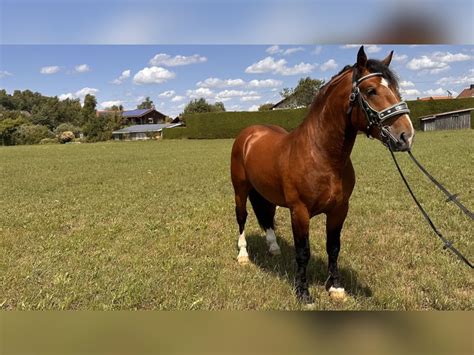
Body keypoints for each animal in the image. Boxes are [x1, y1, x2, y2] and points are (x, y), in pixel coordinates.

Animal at [231, 46, 414, 304]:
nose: (406, 136)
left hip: (264, 193)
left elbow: (333, 247)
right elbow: (303, 252)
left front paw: (336, 287)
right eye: (371, 91)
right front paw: (303, 292)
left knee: (267, 216)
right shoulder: (299, 212)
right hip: (240, 189)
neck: (321, 155)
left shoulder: (339, 210)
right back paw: (243, 255)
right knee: (242, 217)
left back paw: (274, 248)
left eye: (397, 89)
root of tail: (249, 134)